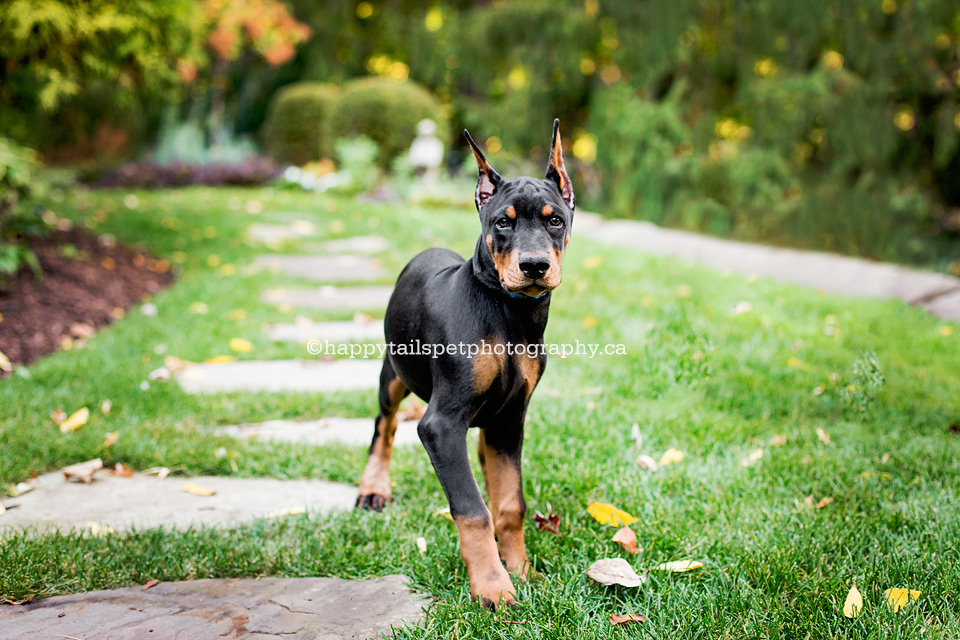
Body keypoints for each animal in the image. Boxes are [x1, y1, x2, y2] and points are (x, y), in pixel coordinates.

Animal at [356, 121, 572, 608]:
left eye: (555, 220)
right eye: (502, 222)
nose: (535, 266)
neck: (507, 315)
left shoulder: (512, 417)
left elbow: (510, 503)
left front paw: (521, 569)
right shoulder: (442, 423)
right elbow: (473, 510)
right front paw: (493, 587)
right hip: (393, 372)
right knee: (384, 425)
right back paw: (373, 489)